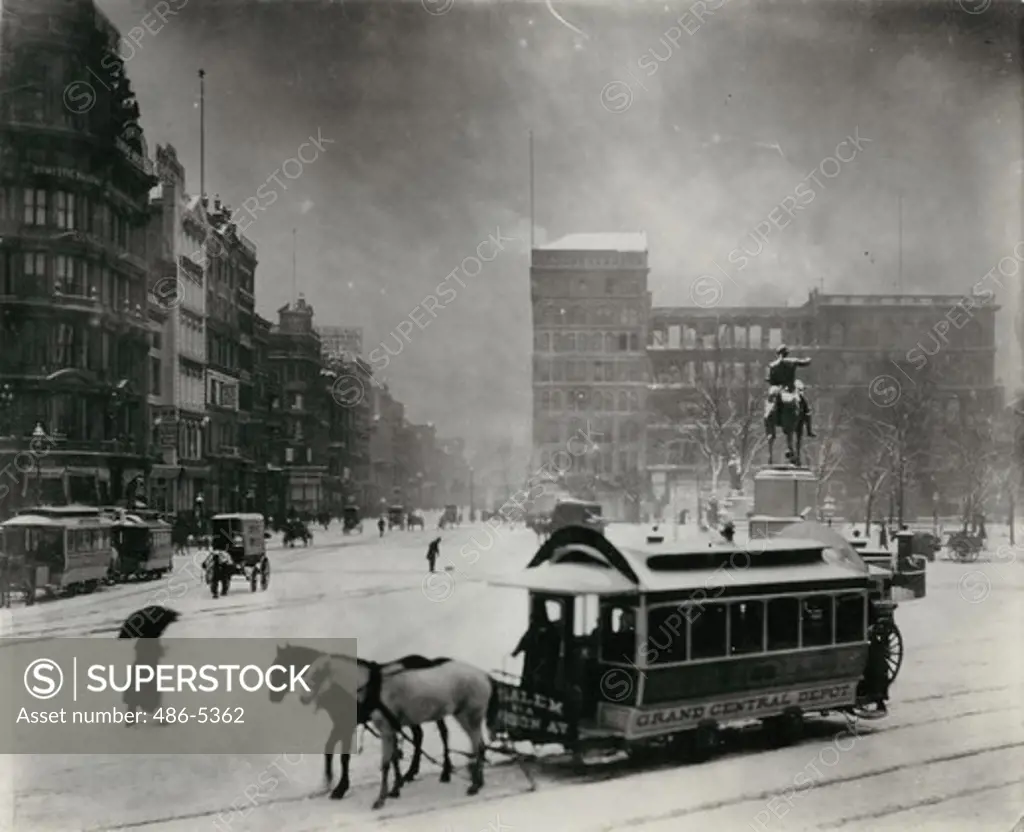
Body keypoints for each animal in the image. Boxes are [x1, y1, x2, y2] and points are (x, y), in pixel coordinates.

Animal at [270, 643, 454, 799]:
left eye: (281, 668)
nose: (272, 697)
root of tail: (429, 662)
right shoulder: (339, 724)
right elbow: (329, 748)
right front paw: (328, 781)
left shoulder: (346, 725)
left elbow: (344, 757)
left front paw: (341, 788)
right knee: (418, 735)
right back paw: (411, 773)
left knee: (442, 733)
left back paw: (445, 771)